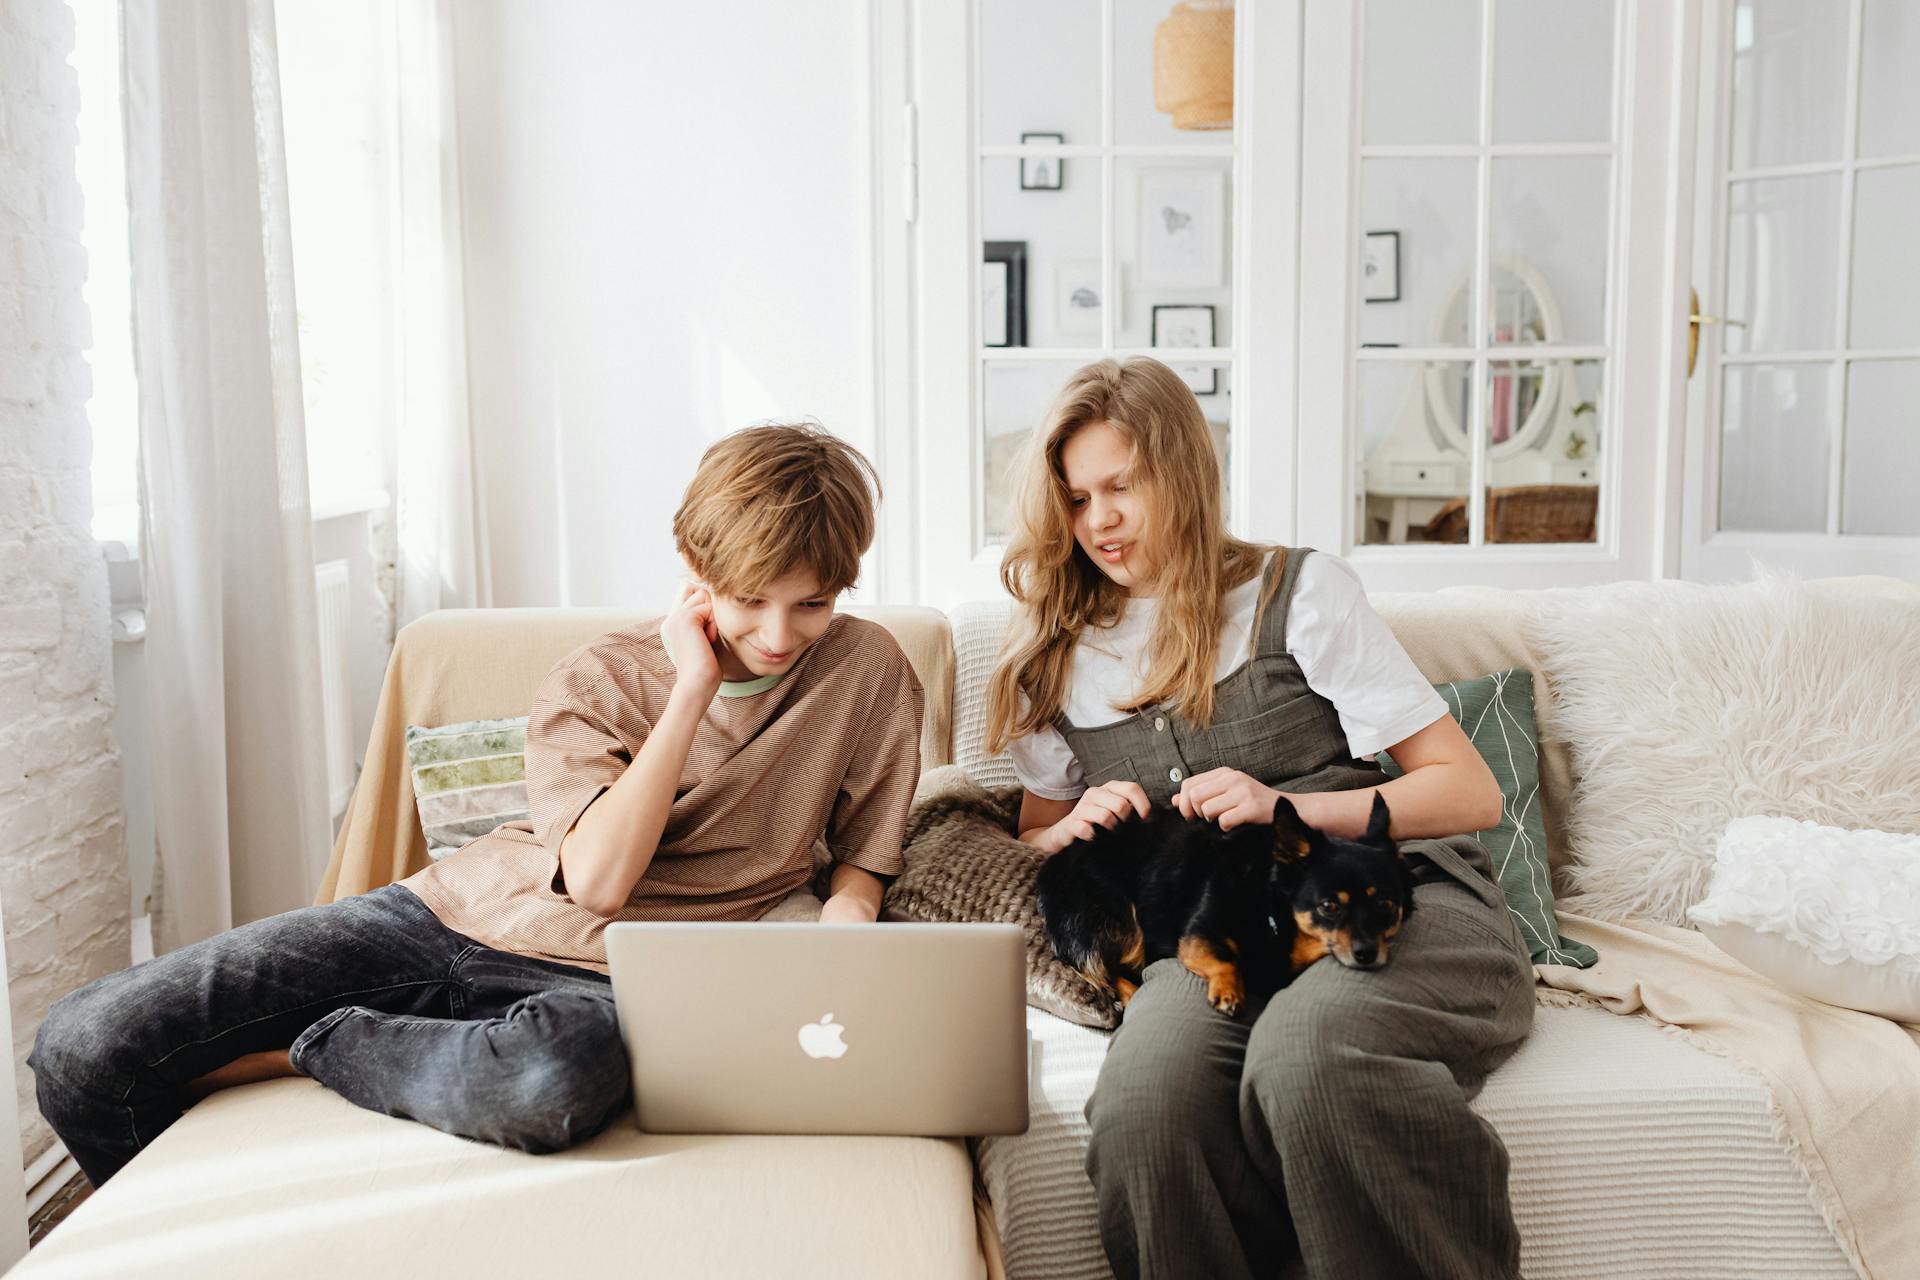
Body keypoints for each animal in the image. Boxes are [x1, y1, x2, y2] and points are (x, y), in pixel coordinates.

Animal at [1044, 794, 1420, 1013]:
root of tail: (1054, 865)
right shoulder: (1199, 934)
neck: (1271, 905)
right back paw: (1132, 996)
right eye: (1328, 907)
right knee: (1107, 970)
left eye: (1386, 904)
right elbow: (1224, 957)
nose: (1367, 954)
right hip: (1122, 921)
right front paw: (1229, 990)